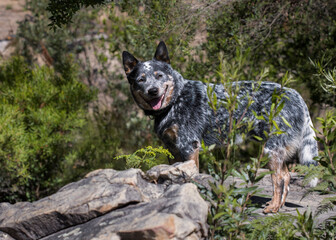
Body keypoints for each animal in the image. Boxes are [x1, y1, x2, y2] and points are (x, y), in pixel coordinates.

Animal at [121, 41, 318, 214]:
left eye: (159, 76)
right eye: (141, 79)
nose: (153, 90)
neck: (176, 100)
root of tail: (296, 95)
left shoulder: (189, 147)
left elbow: (191, 177)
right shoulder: (172, 150)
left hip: (271, 150)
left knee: (278, 179)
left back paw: (274, 208)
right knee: (286, 176)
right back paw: (278, 205)